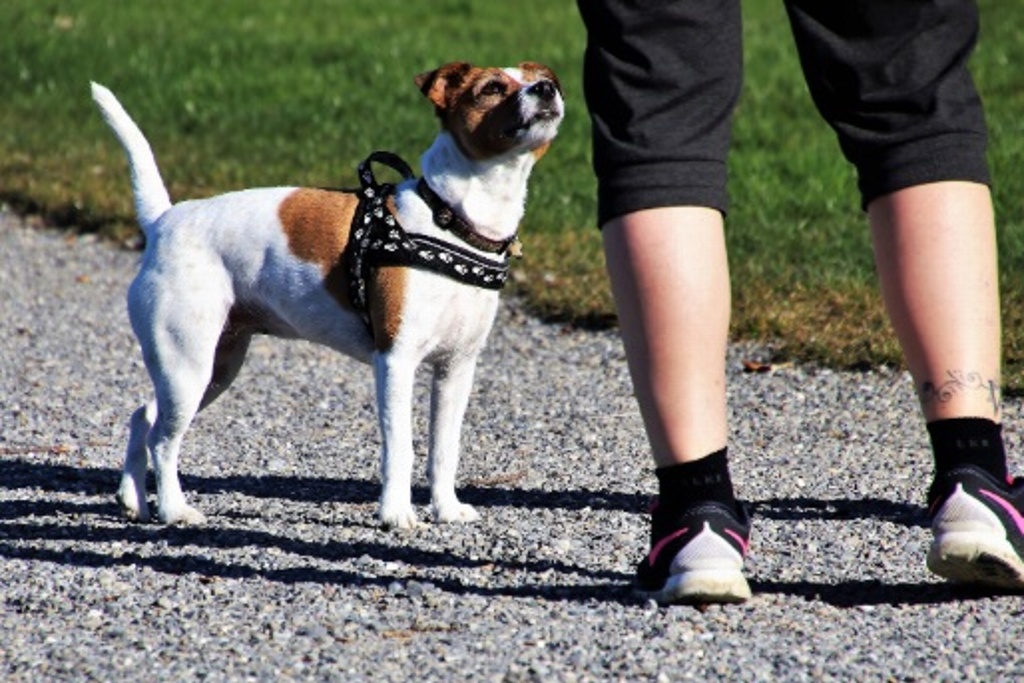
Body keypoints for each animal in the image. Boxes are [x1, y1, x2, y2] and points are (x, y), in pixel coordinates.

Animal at [91, 62, 565, 528]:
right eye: (491, 88)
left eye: (543, 79)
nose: (546, 90)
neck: (450, 220)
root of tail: (163, 221)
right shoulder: (396, 361)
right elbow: (401, 448)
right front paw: (396, 513)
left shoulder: (456, 370)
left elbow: (445, 449)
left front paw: (446, 509)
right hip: (187, 366)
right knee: (163, 440)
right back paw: (173, 509)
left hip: (210, 369)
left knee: (144, 417)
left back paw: (133, 499)